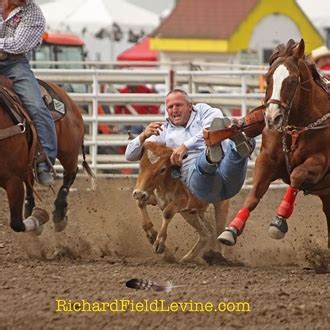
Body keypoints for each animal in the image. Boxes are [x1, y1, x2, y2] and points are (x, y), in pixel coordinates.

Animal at [0, 77, 93, 235]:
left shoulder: (13, 179)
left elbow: (17, 224)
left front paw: (39, 217)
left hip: (69, 152)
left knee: (70, 175)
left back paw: (59, 214)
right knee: (30, 180)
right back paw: (30, 209)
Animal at [219, 39, 330, 248]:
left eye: (292, 80)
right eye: (268, 78)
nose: (272, 117)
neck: (296, 128)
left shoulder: (319, 163)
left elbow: (296, 176)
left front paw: (278, 221)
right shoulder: (266, 160)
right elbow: (254, 195)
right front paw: (231, 229)